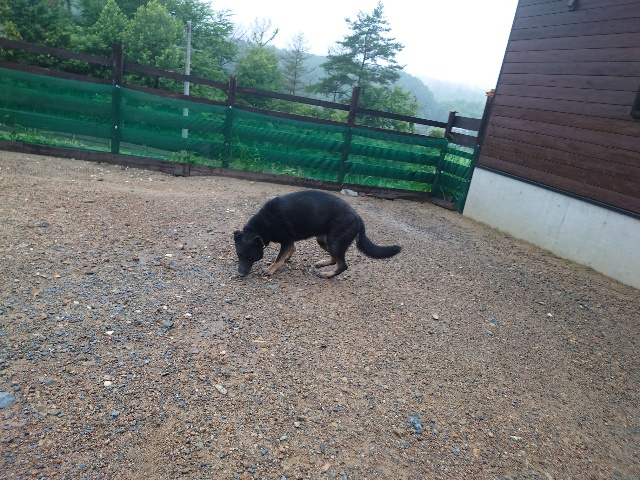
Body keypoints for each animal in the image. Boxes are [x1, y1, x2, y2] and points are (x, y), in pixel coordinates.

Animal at [233, 190, 401, 278]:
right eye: (239, 255)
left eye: (251, 257)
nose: (240, 274)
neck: (264, 223)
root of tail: (358, 217)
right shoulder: (289, 241)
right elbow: (291, 250)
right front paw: (287, 257)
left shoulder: (286, 240)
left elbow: (278, 259)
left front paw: (270, 269)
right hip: (323, 240)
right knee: (335, 260)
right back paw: (323, 264)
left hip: (334, 242)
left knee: (343, 265)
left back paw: (328, 274)